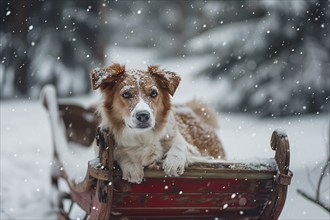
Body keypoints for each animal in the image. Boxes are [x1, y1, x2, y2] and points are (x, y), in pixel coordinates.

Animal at [91, 63, 224, 184]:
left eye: (153, 93)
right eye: (126, 94)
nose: (143, 115)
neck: (142, 137)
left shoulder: (191, 148)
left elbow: (179, 144)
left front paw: (174, 162)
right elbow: (118, 151)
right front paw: (131, 166)